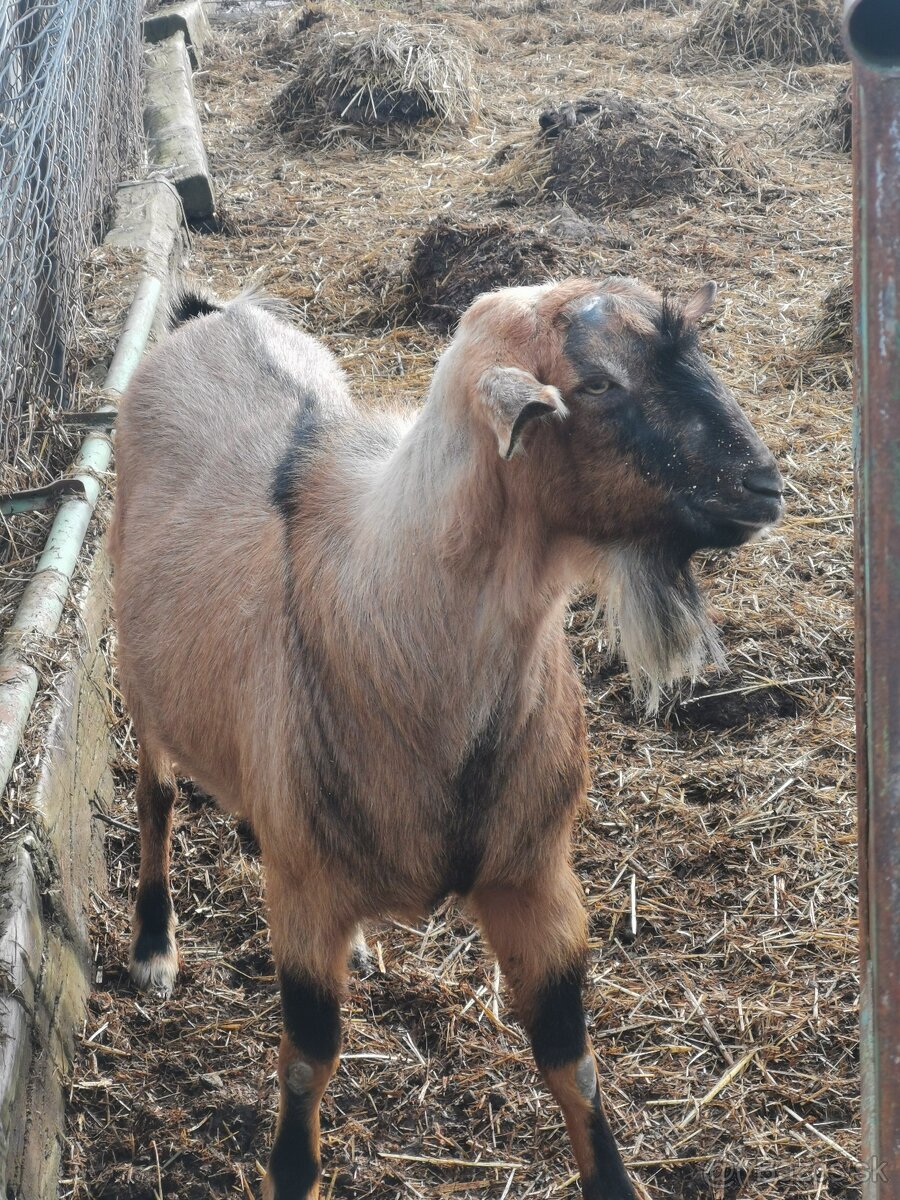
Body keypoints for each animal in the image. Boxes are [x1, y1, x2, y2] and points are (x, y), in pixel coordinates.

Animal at [111, 276, 782, 1195]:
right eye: (597, 383)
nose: (764, 485)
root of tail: (214, 317)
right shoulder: (306, 897)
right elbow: (306, 1066)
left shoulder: (533, 874)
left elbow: (573, 1062)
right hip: (139, 680)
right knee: (156, 796)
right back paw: (153, 946)